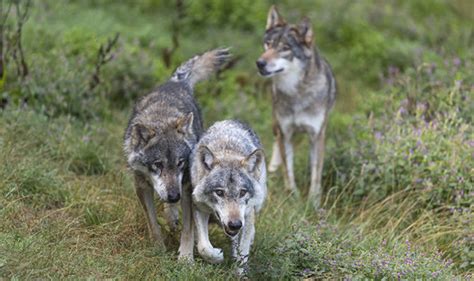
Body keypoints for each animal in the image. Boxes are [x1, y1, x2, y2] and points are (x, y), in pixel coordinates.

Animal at [123, 47, 231, 258]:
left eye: (181, 163)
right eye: (158, 165)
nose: (174, 196)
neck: (162, 117)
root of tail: (176, 82)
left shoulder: (187, 188)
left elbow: (188, 228)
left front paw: (186, 257)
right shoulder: (142, 186)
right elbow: (153, 223)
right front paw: (158, 249)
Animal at [191, 120, 268, 274]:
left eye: (242, 192)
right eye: (219, 192)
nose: (235, 224)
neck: (227, 150)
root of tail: (231, 121)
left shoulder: (247, 214)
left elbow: (243, 251)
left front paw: (240, 272)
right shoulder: (199, 207)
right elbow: (203, 247)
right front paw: (217, 256)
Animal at [256, 5, 336, 208]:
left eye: (285, 48)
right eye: (268, 44)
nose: (260, 63)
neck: (296, 94)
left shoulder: (317, 136)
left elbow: (316, 173)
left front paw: (314, 202)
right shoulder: (286, 133)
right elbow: (288, 170)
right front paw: (293, 196)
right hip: (276, 124)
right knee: (276, 143)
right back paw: (273, 166)